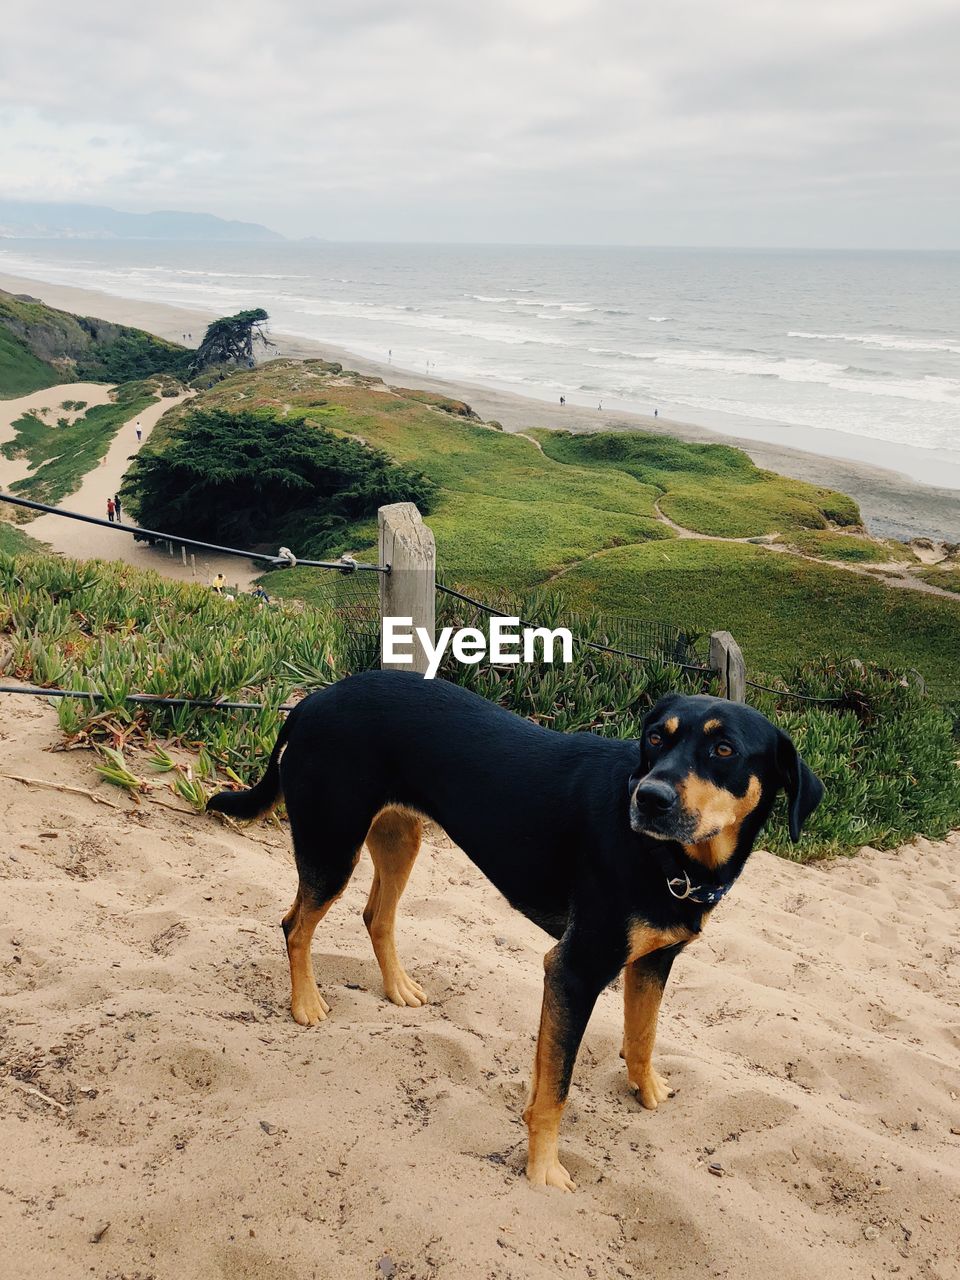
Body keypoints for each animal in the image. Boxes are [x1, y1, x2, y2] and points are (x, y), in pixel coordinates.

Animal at [207, 670, 824, 1187]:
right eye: (655, 739)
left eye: (724, 750)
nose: (649, 798)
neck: (671, 861)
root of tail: (314, 699)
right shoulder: (574, 972)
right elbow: (555, 1090)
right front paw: (544, 1170)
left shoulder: (654, 960)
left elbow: (642, 1036)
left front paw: (646, 1089)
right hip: (333, 845)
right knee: (295, 924)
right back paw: (305, 1003)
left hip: (400, 835)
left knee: (375, 916)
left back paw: (398, 987)